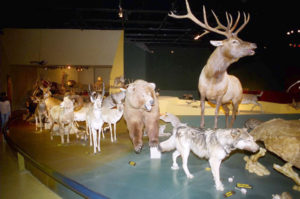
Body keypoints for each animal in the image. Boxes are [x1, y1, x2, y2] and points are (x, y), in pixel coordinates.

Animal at [170, 0, 256, 129]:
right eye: (234, 41)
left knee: (234, 114)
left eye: (240, 38)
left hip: (237, 99)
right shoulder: (202, 93)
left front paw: (215, 128)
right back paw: (226, 127)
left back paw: (229, 128)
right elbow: (202, 109)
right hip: (228, 101)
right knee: (228, 111)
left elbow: (216, 112)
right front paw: (202, 126)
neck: (211, 79)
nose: (254, 44)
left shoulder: (220, 95)